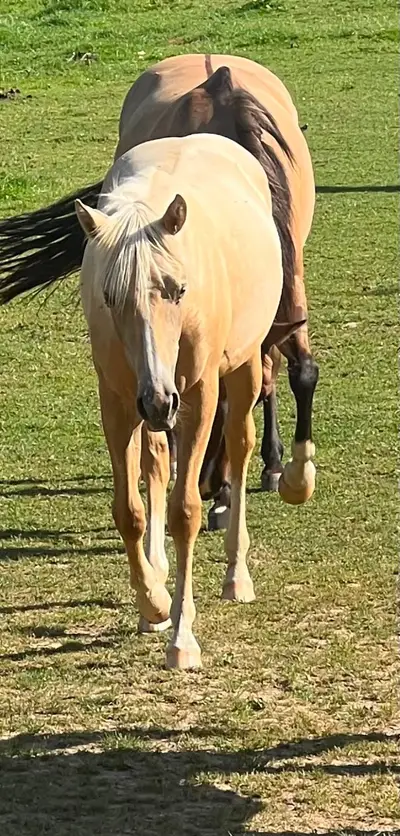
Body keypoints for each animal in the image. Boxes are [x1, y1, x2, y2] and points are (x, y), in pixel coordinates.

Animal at [76, 131, 287, 668]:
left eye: (179, 290)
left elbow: (185, 510)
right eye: (111, 297)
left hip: (243, 367)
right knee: (154, 461)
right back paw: (157, 568)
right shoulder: (117, 401)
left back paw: (236, 575)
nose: (157, 400)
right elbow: (129, 510)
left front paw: (181, 636)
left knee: (239, 445)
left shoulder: (197, 397)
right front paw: (152, 601)